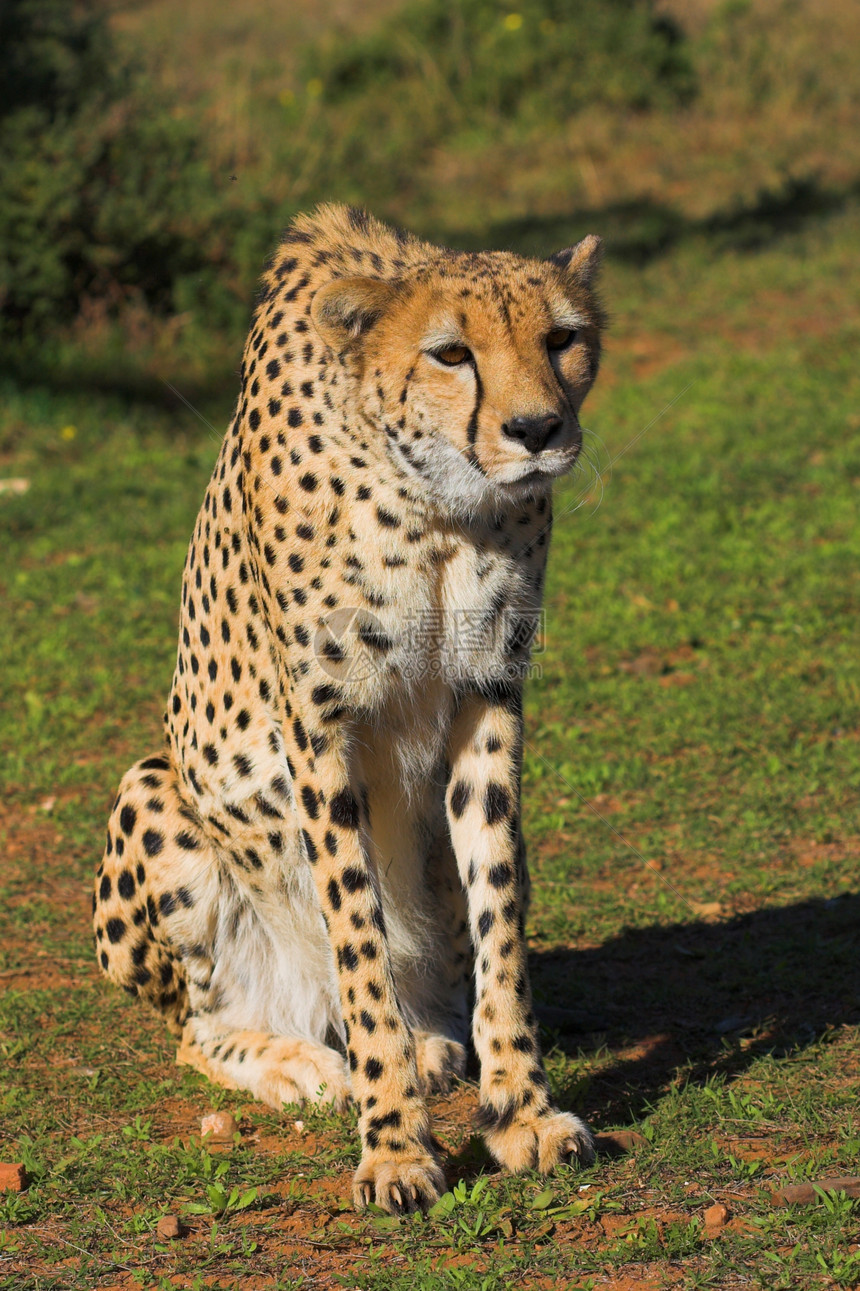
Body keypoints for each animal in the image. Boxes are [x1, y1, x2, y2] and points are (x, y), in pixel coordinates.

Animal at [93, 206, 601, 1213]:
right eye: (452, 353)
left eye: (563, 338)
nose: (537, 429)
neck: (439, 501)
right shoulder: (320, 728)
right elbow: (357, 939)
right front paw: (396, 1144)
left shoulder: (489, 694)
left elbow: (498, 919)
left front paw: (520, 1110)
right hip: (153, 793)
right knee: (200, 1029)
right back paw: (297, 1058)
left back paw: (436, 1040)